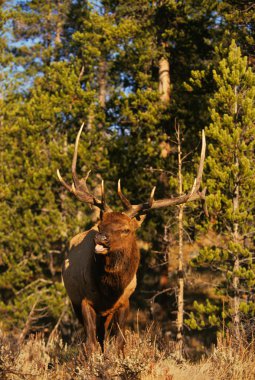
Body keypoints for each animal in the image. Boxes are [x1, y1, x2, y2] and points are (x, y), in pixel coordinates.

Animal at [57, 124, 205, 354]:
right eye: (101, 224)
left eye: (126, 229)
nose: (100, 237)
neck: (109, 291)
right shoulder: (84, 300)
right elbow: (90, 344)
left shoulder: (125, 302)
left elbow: (120, 342)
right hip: (76, 303)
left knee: (104, 337)